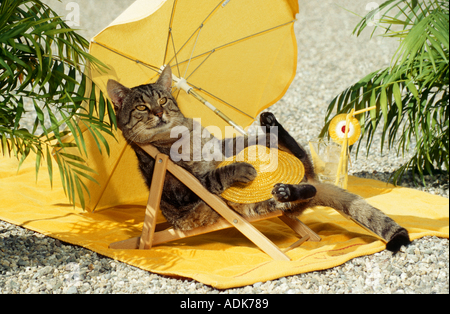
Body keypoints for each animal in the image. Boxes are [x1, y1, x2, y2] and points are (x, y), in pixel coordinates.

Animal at [107, 66, 410, 253]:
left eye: (163, 100)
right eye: (142, 107)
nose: (159, 113)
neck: (180, 135)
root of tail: (311, 179)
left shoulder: (223, 144)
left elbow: (226, 155)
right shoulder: (182, 191)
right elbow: (217, 173)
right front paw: (243, 168)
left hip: (274, 153)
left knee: (300, 158)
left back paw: (272, 126)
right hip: (257, 205)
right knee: (303, 192)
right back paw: (288, 188)